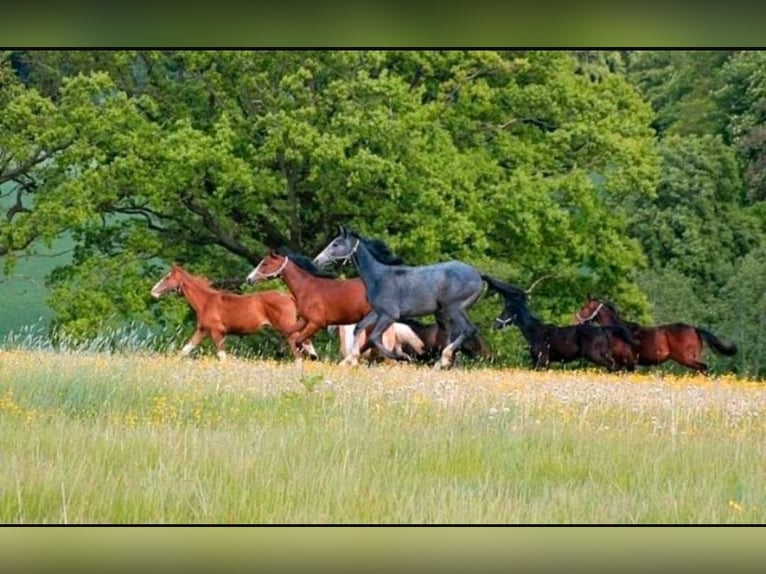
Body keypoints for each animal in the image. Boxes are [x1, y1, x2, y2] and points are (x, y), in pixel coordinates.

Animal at [150, 264, 318, 360]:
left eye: (167, 278)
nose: (153, 292)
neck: (206, 301)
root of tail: (289, 296)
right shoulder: (203, 331)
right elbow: (185, 350)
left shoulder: (217, 333)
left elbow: (222, 357)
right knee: (305, 342)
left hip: (286, 327)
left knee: (298, 351)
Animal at [245, 250, 425, 364]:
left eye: (265, 263)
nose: (249, 279)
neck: (306, 287)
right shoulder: (304, 320)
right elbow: (287, 333)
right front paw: (281, 352)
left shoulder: (316, 323)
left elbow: (298, 340)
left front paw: (311, 356)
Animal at [313, 226, 492, 369]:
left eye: (336, 244)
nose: (317, 261)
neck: (378, 277)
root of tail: (479, 274)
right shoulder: (377, 312)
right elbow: (359, 328)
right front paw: (351, 358)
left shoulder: (389, 315)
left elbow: (374, 337)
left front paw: (401, 357)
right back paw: (442, 362)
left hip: (454, 308)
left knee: (468, 330)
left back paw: (444, 358)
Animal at [483, 276, 637, 371]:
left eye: (506, 312)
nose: (495, 325)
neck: (536, 332)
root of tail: (603, 330)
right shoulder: (538, 362)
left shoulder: (542, 361)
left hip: (595, 355)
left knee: (612, 365)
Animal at [573, 296, 737, 372]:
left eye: (584, 308)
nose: (575, 320)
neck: (619, 332)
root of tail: (695, 329)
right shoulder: (618, 363)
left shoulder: (629, 362)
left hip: (686, 358)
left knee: (704, 368)